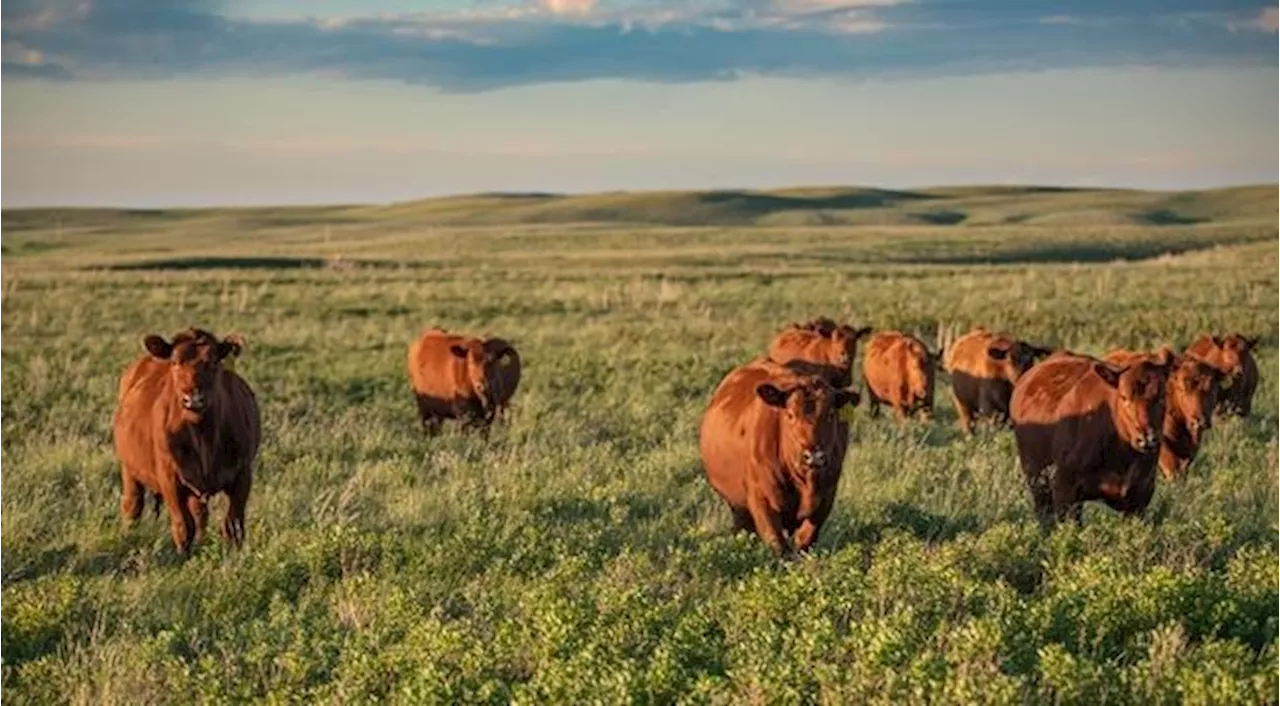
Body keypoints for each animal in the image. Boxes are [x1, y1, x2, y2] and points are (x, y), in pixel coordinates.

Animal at [115, 327, 262, 555]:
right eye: (175, 362)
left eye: (213, 362)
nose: (193, 399)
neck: (204, 438)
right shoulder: (169, 478)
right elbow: (183, 526)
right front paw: (183, 558)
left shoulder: (243, 474)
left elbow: (233, 525)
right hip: (129, 469)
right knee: (133, 505)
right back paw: (129, 537)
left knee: (200, 514)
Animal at [701, 358, 860, 557]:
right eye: (790, 415)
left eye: (831, 414)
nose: (813, 455)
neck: (805, 484)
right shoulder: (762, 501)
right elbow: (778, 546)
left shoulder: (826, 497)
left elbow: (805, 540)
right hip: (737, 506)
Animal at [1003, 350, 1172, 526]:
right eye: (1124, 397)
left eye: (1162, 396)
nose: (1147, 438)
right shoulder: (1064, 490)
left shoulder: (1140, 498)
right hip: (1037, 481)